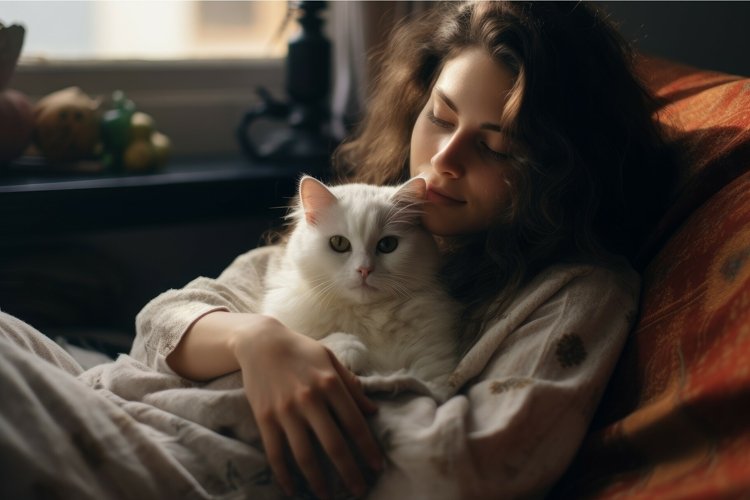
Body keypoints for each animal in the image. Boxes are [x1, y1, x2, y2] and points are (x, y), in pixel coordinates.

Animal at [262, 176, 462, 402]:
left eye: (387, 245)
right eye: (339, 243)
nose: (364, 270)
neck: (367, 316)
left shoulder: (435, 373)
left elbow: (422, 386)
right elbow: (310, 339)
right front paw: (349, 350)